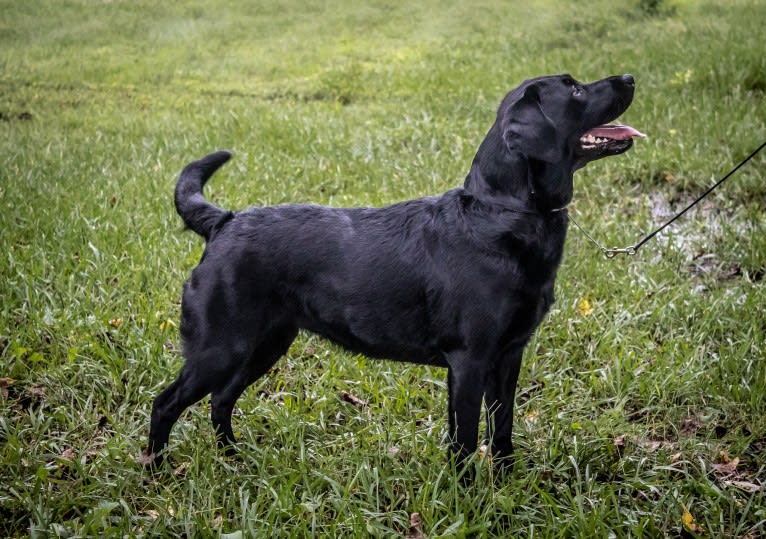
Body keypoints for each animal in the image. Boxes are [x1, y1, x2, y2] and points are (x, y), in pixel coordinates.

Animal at [146, 73, 640, 468]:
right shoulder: (468, 362)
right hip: (220, 348)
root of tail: (225, 222)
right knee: (166, 403)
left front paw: (506, 484)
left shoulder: (509, 356)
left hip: (264, 345)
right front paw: (465, 497)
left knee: (220, 401)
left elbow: (502, 431)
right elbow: (464, 441)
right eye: (574, 89)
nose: (630, 77)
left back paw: (233, 458)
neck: (498, 213)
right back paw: (157, 469)